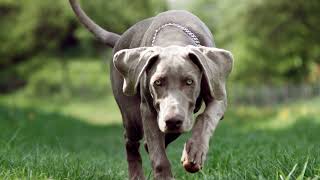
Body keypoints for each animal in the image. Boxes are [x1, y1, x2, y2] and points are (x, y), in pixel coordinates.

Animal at [70, 0, 234, 179]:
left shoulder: (217, 95)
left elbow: (206, 118)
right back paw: (136, 173)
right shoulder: (148, 111)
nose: (173, 120)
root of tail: (120, 38)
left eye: (190, 82)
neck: (173, 37)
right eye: (158, 82)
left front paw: (194, 152)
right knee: (131, 141)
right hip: (131, 115)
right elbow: (159, 156)